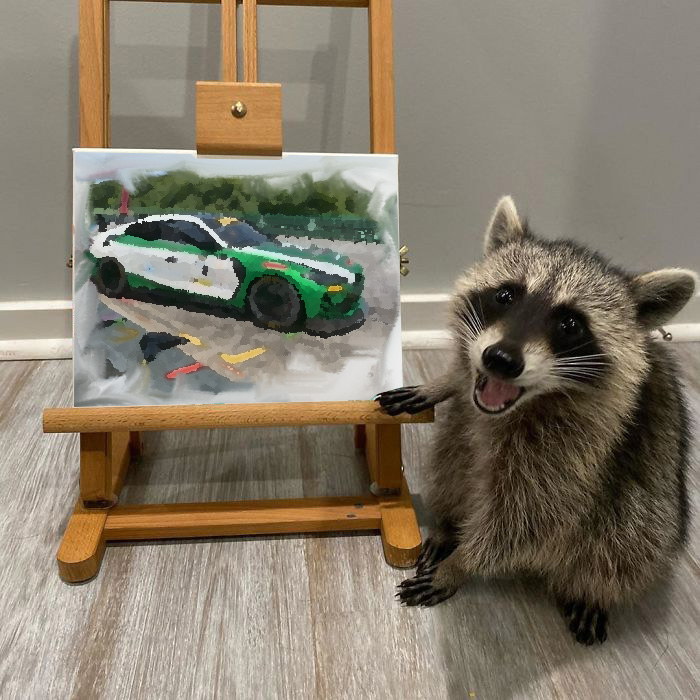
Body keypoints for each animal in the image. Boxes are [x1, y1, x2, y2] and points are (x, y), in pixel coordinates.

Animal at [377, 196, 695, 645]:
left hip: (651, 504)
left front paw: (462, 564)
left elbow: (527, 522)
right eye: (505, 295)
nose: (499, 360)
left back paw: (593, 589)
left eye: (570, 324)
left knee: (631, 538)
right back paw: (449, 520)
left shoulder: (573, 451)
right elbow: (461, 384)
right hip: (459, 436)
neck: (518, 407)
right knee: (452, 458)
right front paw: (443, 382)